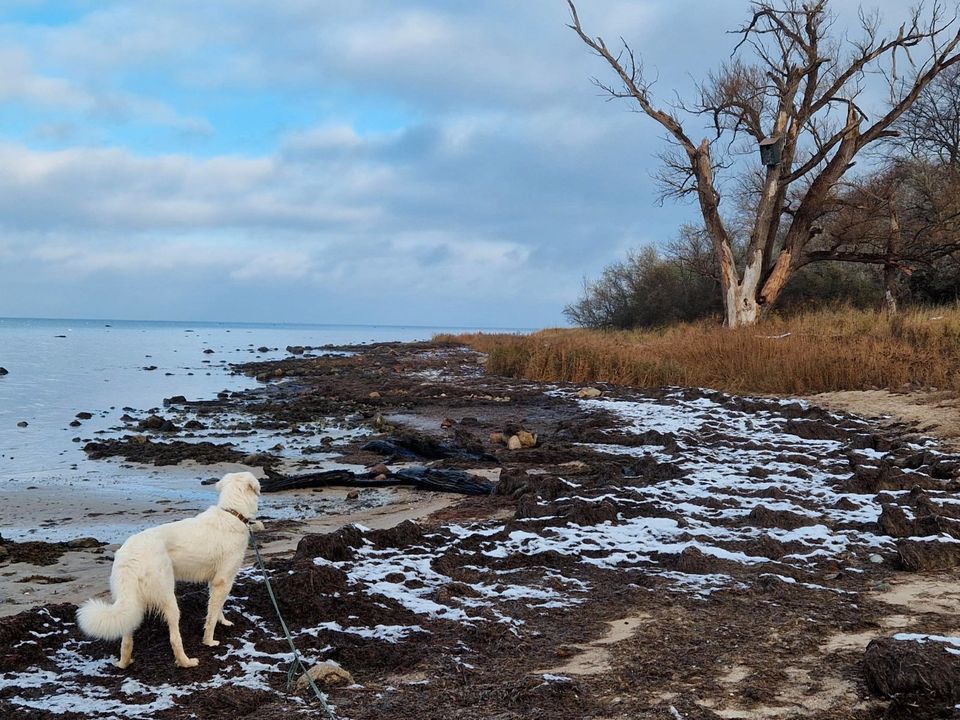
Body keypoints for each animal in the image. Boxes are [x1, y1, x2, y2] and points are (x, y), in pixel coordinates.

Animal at [77, 472, 262, 668]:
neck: (232, 513)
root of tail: (130, 556)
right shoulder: (224, 581)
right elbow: (211, 616)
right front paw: (209, 641)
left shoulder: (215, 582)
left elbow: (217, 607)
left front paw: (224, 621)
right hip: (168, 597)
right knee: (174, 638)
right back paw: (187, 662)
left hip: (130, 600)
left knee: (126, 638)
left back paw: (124, 663)